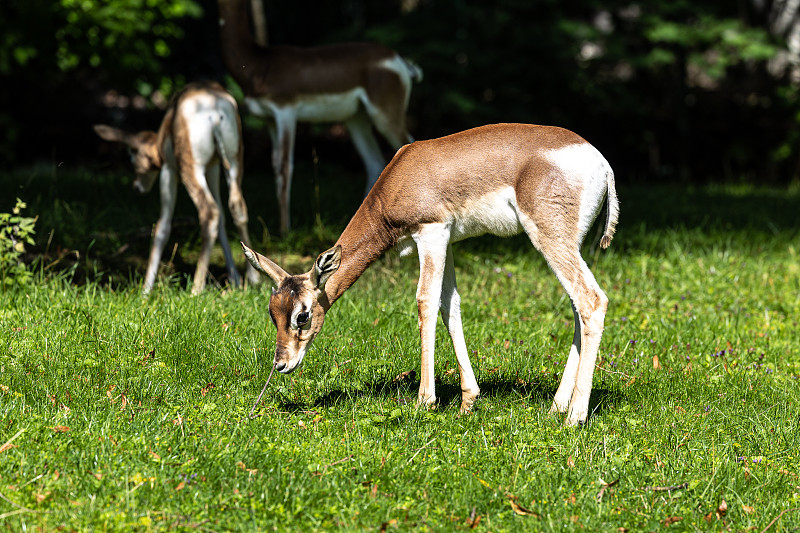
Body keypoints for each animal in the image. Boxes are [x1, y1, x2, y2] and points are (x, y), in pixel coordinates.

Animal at [95, 81, 260, 294]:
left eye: (131, 157)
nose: (136, 187)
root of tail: (215, 112)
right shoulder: (213, 168)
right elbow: (224, 219)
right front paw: (235, 279)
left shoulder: (168, 170)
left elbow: (162, 227)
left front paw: (145, 290)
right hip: (233, 162)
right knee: (236, 209)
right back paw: (253, 278)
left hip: (191, 169)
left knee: (209, 212)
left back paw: (196, 289)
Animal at [216, 0, 422, 235]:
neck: (259, 64)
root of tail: (400, 61)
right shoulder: (269, 121)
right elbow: (275, 165)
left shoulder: (285, 112)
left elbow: (285, 167)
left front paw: (285, 231)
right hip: (356, 120)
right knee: (374, 162)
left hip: (385, 115)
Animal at [244, 122, 620, 426]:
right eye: (272, 314)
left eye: (302, 315)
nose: (281, 364)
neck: (400, 178)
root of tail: (601, 162)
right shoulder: (447, 241)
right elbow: (449, 305)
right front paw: (469, 400)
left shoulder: (431, 233)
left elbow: (426, 301)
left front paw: (425, 400)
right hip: (569, 245)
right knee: (577, 308)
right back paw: (557, 406)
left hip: (550, 239)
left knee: (592, 300)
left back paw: (575, 416)